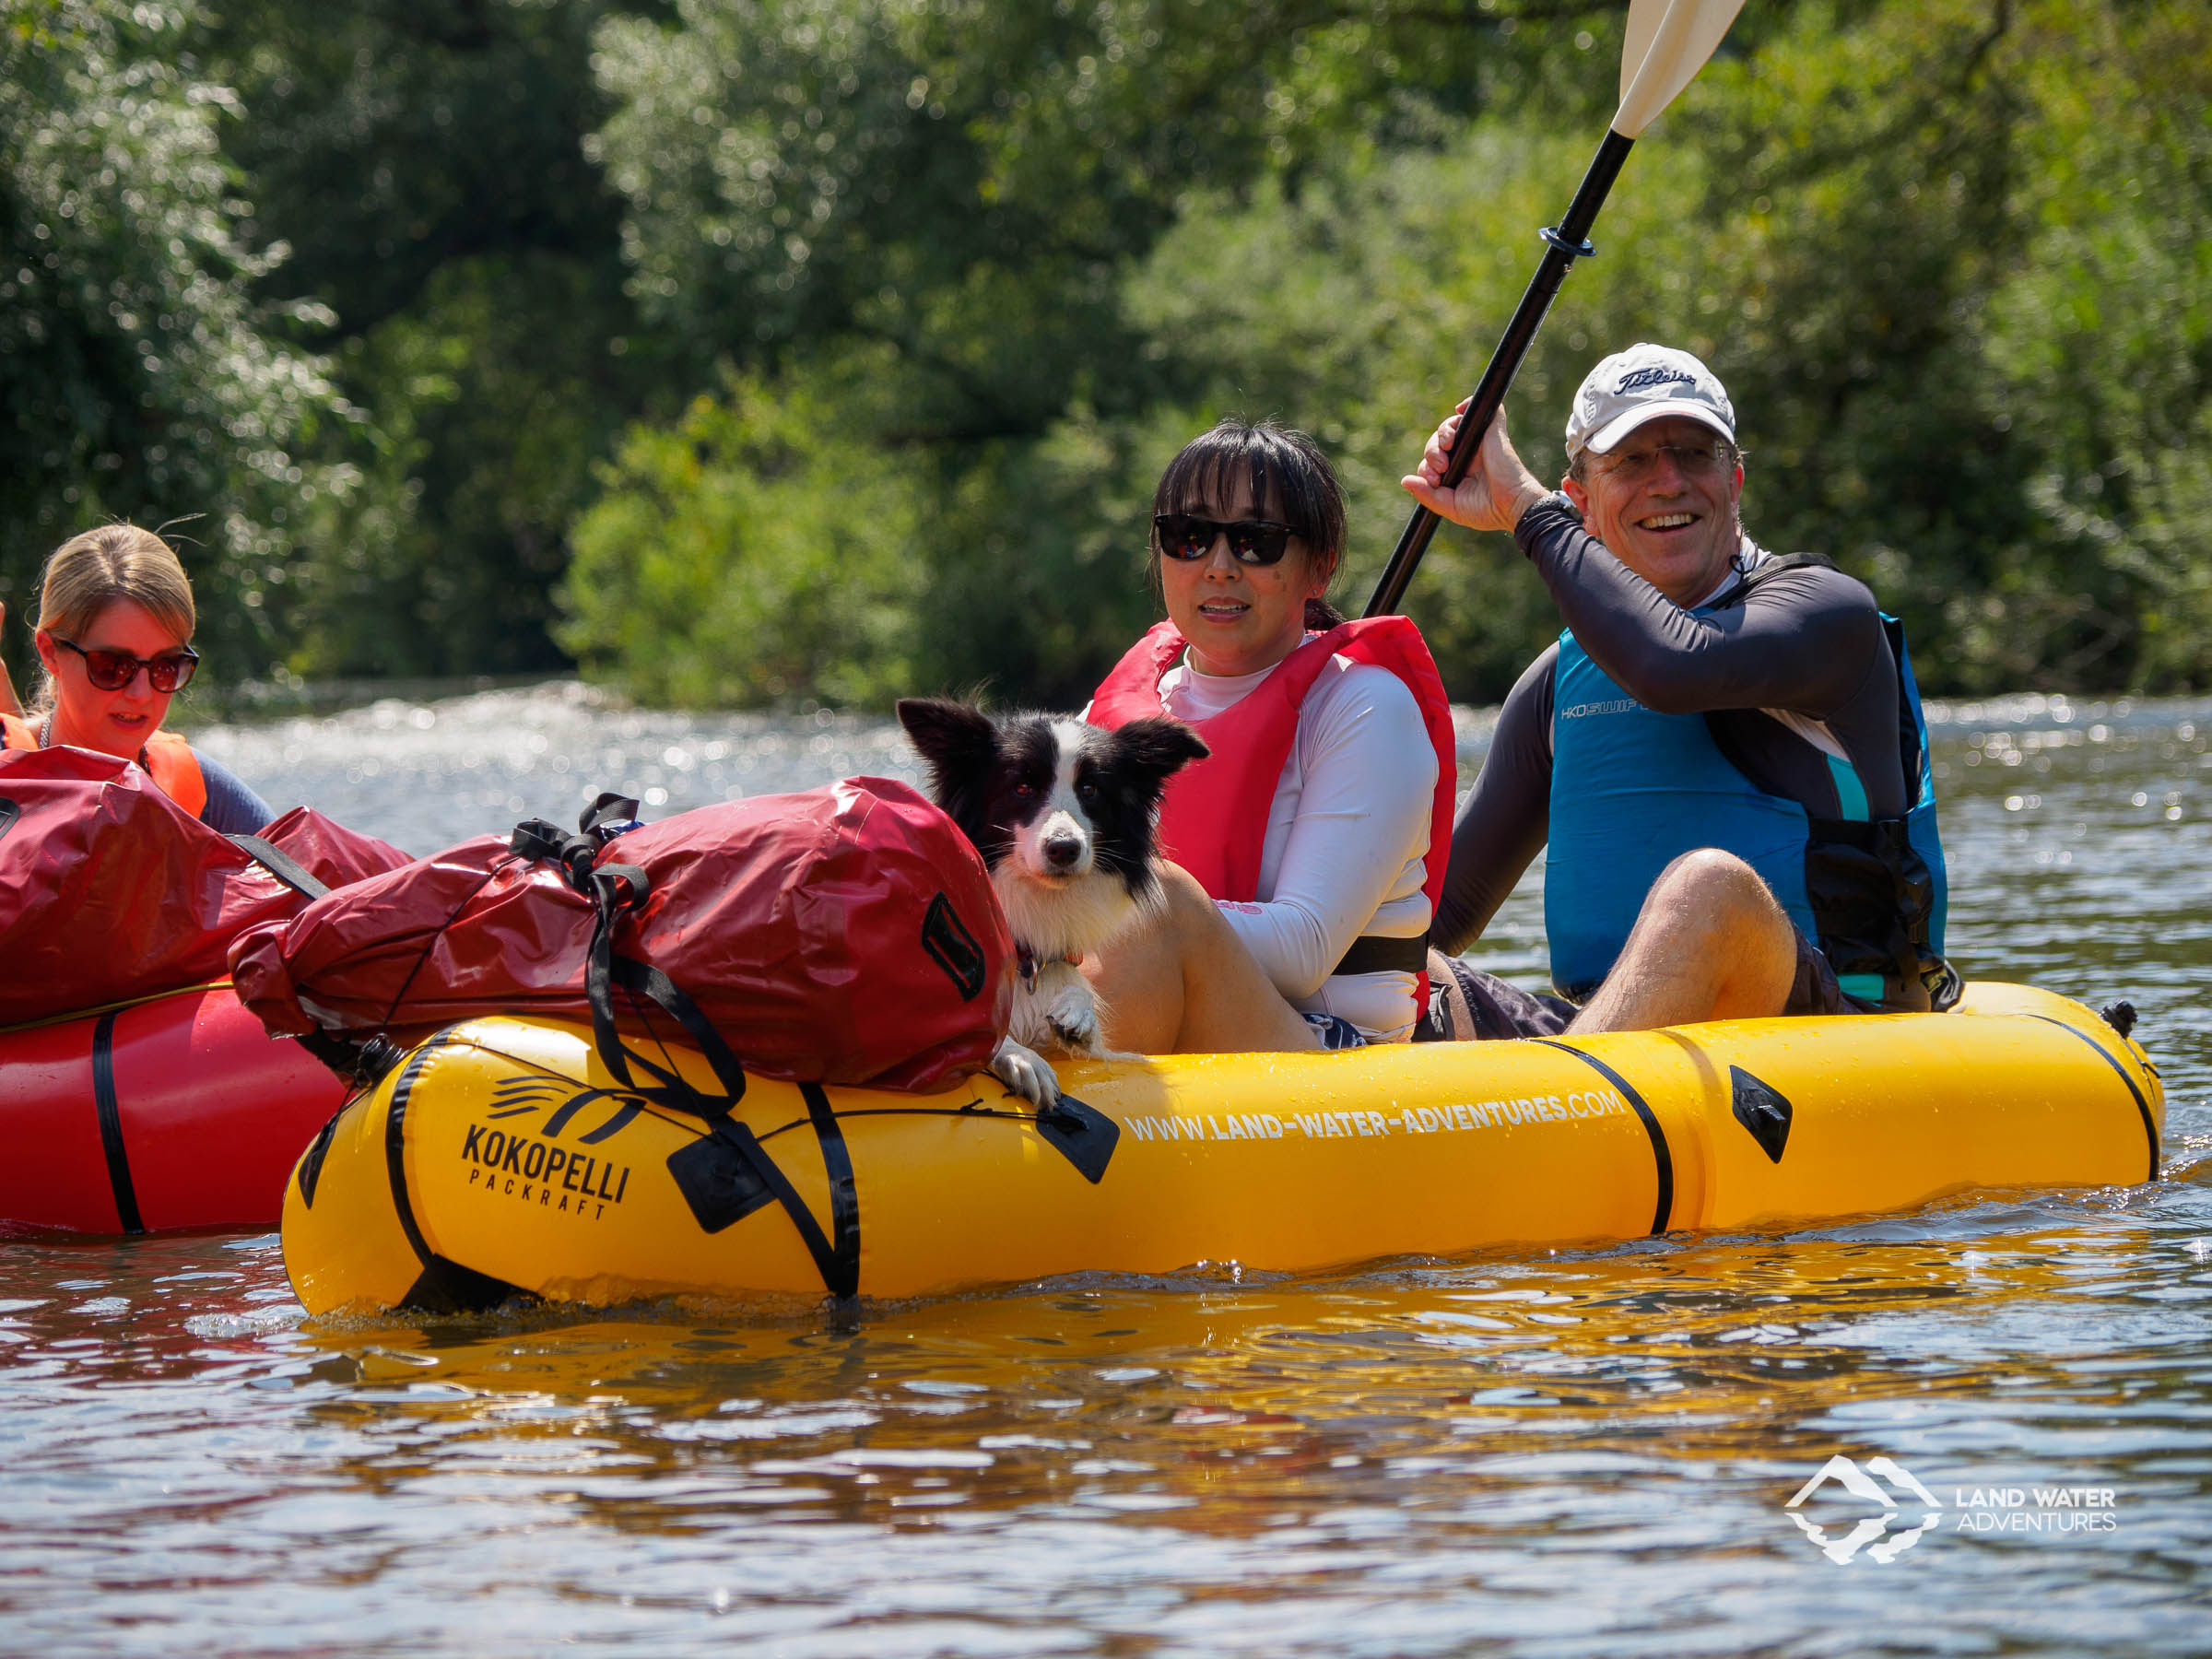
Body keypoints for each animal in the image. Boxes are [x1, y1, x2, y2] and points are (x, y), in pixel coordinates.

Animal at [898, 703, 1212, 1092]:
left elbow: (1080, 999)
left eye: (1090, 789)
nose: (1064, 848)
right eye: (1021, 787)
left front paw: (1079, 1015)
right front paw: (1022, 1058)